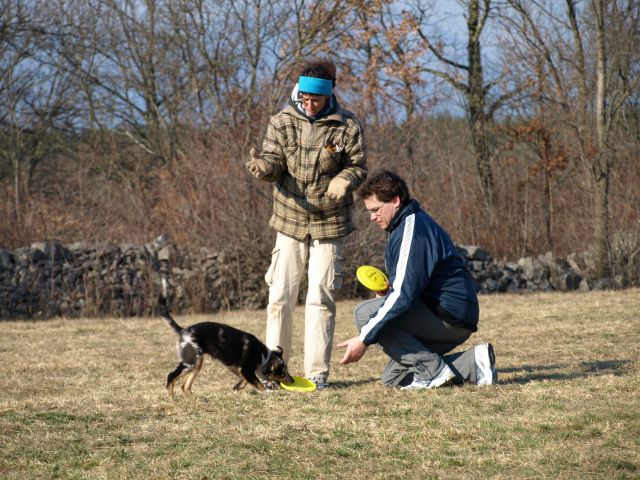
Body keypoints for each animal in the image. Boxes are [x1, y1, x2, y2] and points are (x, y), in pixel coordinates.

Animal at [158, 296, 292, 398]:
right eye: (283, 373)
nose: (293, 381)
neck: (262, 355)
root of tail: (183, 330)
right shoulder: (245, 368)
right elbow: (257, 382)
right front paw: (268, 392)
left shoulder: (235, 366)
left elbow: (245, 380)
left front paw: (237, 387)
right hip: (190, 361)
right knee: (171, 376)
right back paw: (172, 397)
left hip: (197, 362)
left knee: (185, 385)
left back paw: (191, 399)